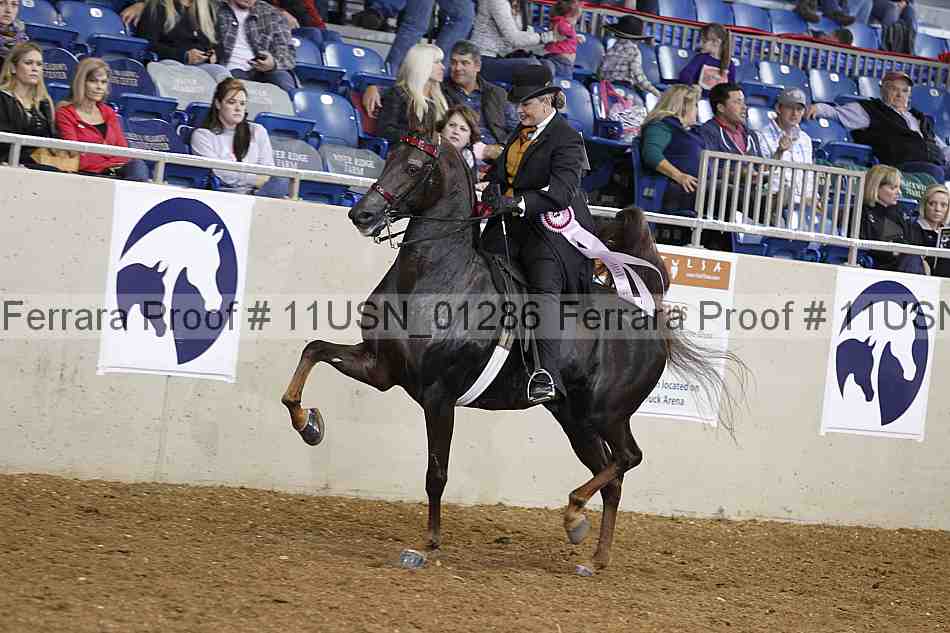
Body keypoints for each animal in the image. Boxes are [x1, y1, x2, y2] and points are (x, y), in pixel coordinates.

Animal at [281, 134, 744, 572]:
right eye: (388, 157)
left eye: (412, 167)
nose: (362, 214)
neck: (434, 278)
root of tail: (650, 321)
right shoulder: (381, 370)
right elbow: (313, 351)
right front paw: (309, 424)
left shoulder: (439, 396)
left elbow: (436, 472)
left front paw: (427, 543)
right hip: (575, 420)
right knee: (610, 474)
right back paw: (592, 552)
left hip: (606, 413)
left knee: (628, 458)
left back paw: (574, 512)